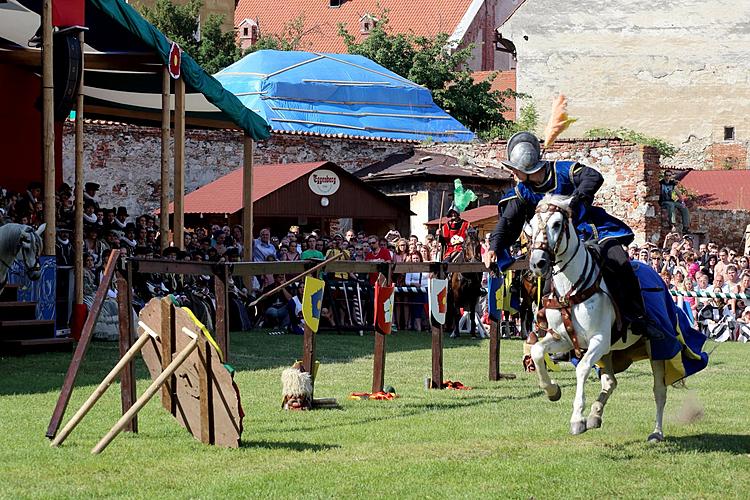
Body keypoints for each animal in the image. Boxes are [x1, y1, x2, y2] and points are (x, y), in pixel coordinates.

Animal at [528, 195, 668, 442]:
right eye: (532, 226)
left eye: (556, 224)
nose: (538, 263)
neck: (571, 290)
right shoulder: (562, 339)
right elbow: (536, 351)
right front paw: (552, 390)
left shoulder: (599, 340)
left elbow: (582, 368)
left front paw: (577, 418)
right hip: (610, 352)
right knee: (611, 381)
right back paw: (595, 414)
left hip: (653, 349)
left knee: (659, 391)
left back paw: (656, 433)